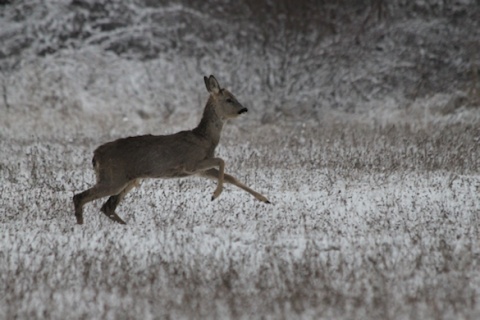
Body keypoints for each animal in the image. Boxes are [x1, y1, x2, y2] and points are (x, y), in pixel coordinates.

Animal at [73, 75, 272, 225]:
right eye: (229, 99)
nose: (244, 109)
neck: (204, 139)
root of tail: (95, 155)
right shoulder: (191, 163)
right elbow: (222, 161)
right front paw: (215, 195)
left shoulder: (201, 170)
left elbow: (232, 177)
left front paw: (265, 199)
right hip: (114, 178)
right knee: (80, 197)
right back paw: (81, 227)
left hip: (127, 180)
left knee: (107, 206)